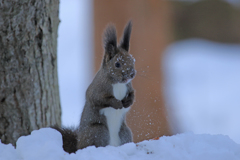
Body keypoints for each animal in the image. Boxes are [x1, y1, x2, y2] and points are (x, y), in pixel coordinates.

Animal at [53, 20, 136, 153]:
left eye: (133, 60)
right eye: (117, 64)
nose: (132, 74)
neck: (118, 83)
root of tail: (78, 146)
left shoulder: (129, 87)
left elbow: (133, 95)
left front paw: (128, 102)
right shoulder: (96, 89)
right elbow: (98, 99)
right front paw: (117, 103)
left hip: (125, 133)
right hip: (98, 131)